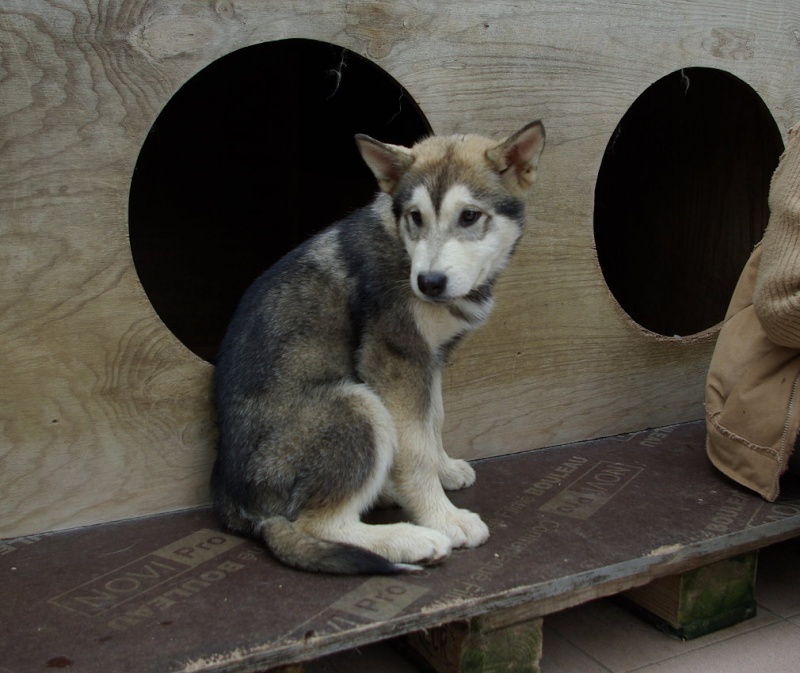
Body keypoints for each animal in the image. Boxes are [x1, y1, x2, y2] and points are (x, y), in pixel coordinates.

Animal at [214, 121, 544, 572]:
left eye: (469, 216)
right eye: (415, 217)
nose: (429, 283)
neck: (402, 248)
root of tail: (238, 506)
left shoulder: (427, 360)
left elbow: (432, 421)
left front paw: (444, 470)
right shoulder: (393, 361)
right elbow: (415, 449)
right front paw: (443, 518)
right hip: (357, 405)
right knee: (317, 523)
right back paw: (411, 539)